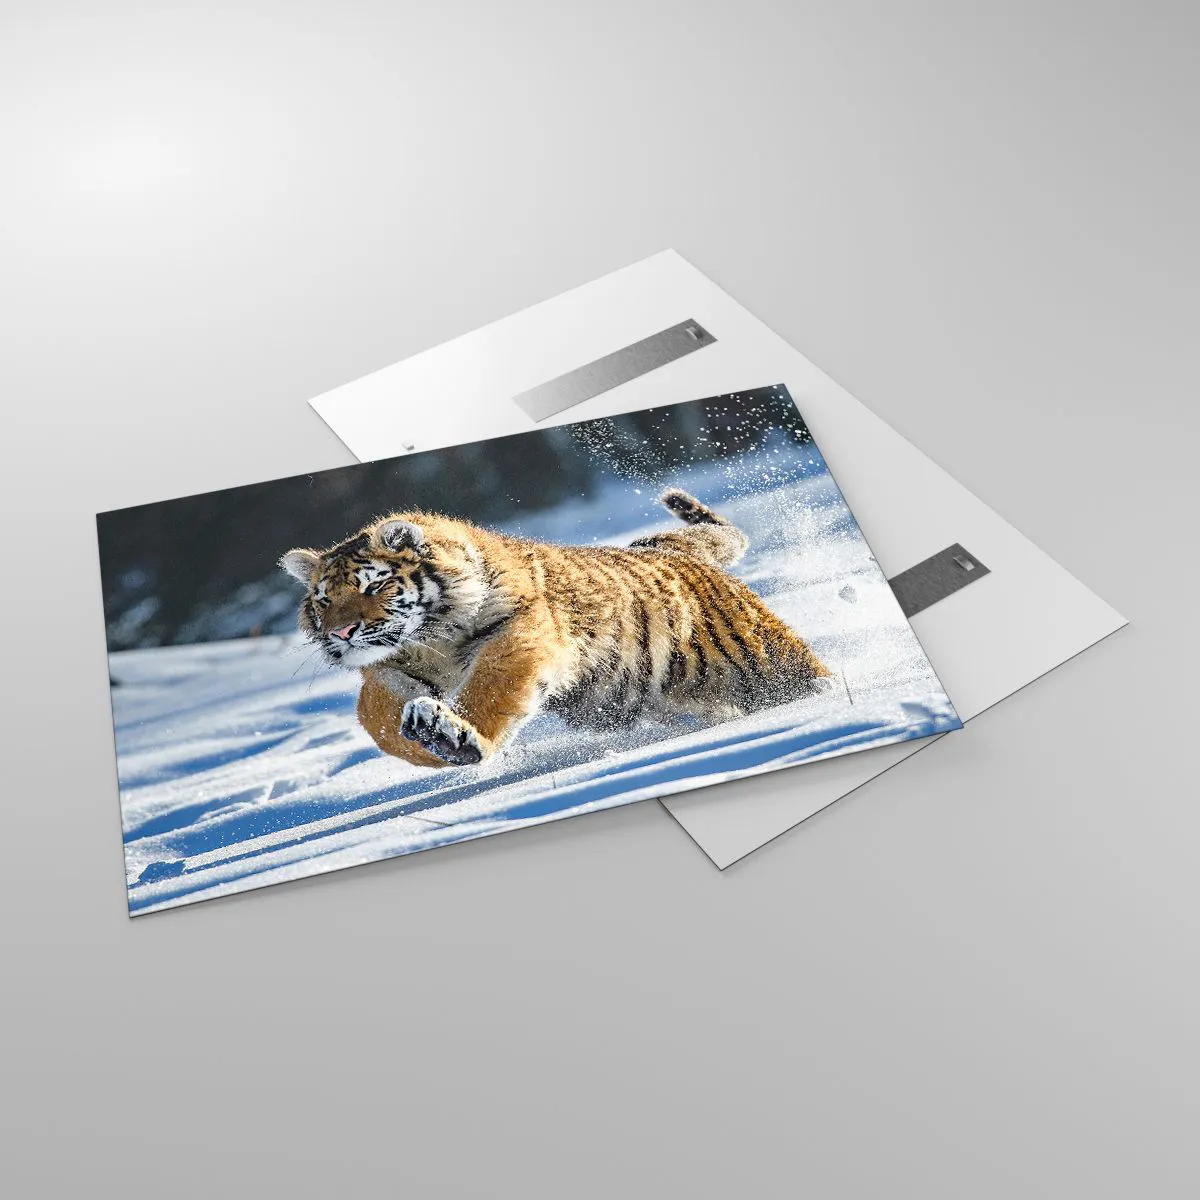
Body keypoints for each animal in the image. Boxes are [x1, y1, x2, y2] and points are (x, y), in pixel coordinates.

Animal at [280, 489, 830, 769]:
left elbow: (491, 687)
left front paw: (453, 736)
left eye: (373, 585)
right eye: (325, 600)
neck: (431, 638)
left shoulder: (517, 633)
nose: (342, 633)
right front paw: (423, 737)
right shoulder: (387, 669)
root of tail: (670, 549)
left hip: (766, 660)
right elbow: (377, 717)